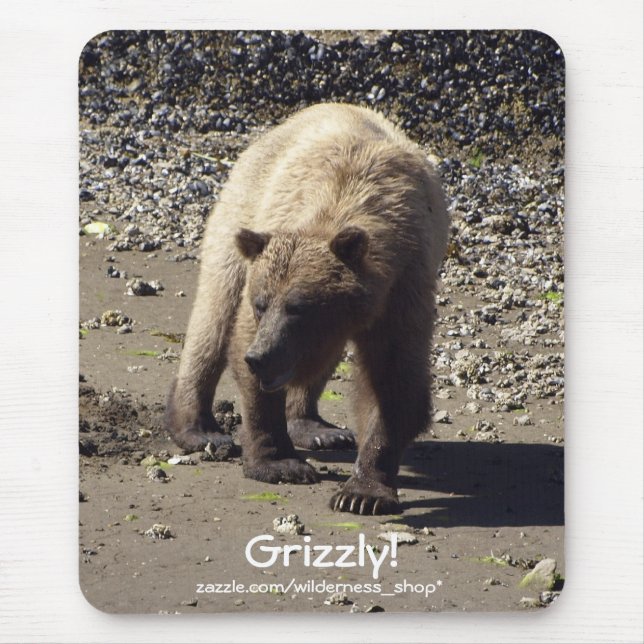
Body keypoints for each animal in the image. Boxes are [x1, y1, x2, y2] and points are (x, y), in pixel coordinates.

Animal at [166, 103, 449, 515]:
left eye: (299, 307)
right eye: (261, 304)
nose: (261, 358)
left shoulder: (402, 289)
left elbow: (394, 377)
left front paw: (362, 493)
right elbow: (241, 345)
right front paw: (280, 463)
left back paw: (317, 428)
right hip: (240, 214)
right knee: (214, 315)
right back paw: (200, 430)